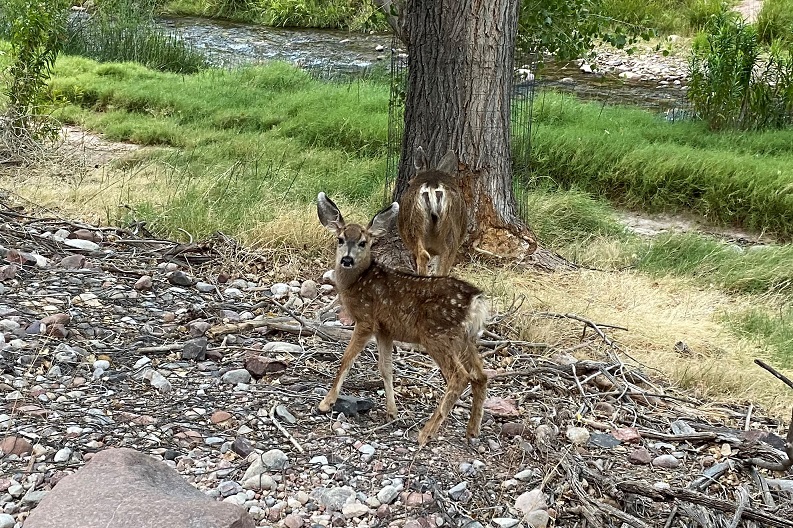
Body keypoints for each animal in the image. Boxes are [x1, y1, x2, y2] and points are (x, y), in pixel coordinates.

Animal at [316, 192, 488, 446]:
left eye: (363, 242)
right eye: (340, 239)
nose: (346, 260)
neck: (357, 282)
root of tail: (476, 301)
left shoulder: (366, 320)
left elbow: (346, 360)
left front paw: (326, 403)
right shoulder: (385, 329)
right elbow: (386, 368)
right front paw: (392, 411)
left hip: (437, 334)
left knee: (459, 376)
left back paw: (426, 433)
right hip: (466, 338)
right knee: (481, 375)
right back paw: (472, 430)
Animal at [398, 147, 467, 276]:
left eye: (409, 183)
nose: (408, 183)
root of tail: (432, 186)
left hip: (413, 226)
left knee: (425, 256)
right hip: (450, 231)